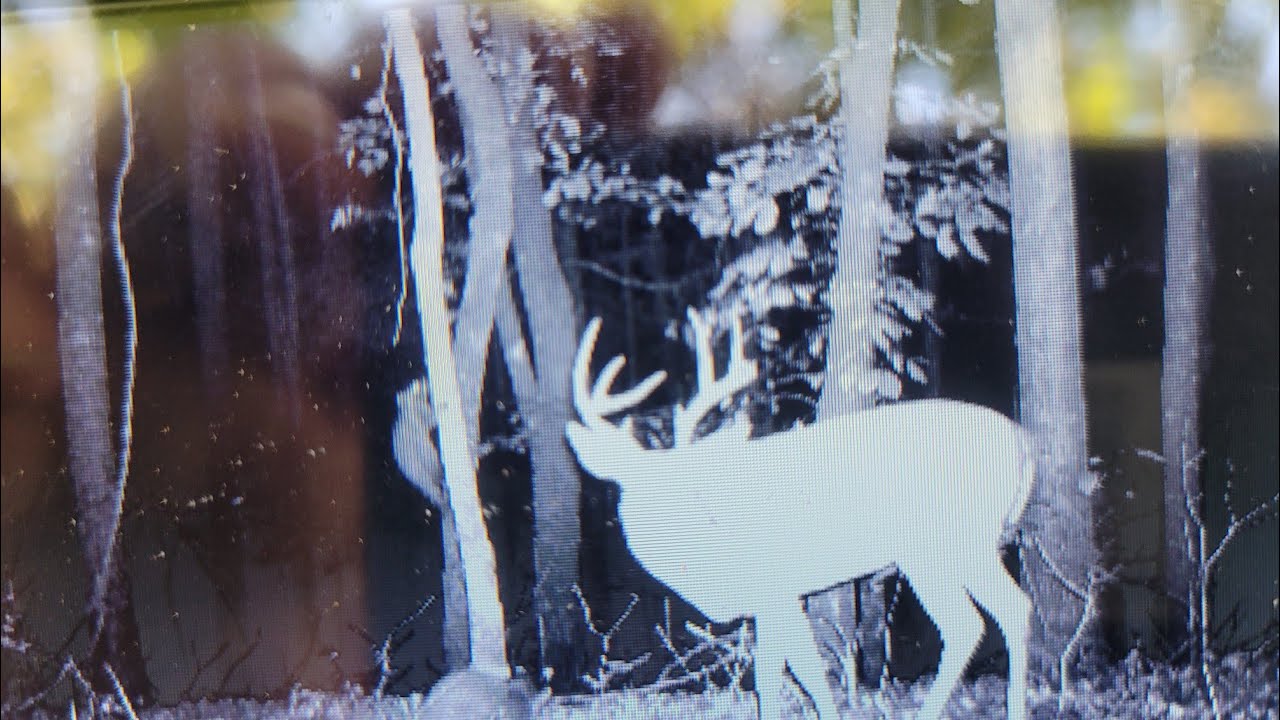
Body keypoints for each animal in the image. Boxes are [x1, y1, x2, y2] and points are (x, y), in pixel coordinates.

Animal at [564, 309, 1036, 720]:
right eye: (633, 488)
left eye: (688, 479)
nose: (673, 520)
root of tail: (1023, 445)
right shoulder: (772, 599)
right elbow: (784, 673)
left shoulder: (776, 587)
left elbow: (796, 673)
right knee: (1012, 608)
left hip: (940, 544)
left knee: (972, 622)